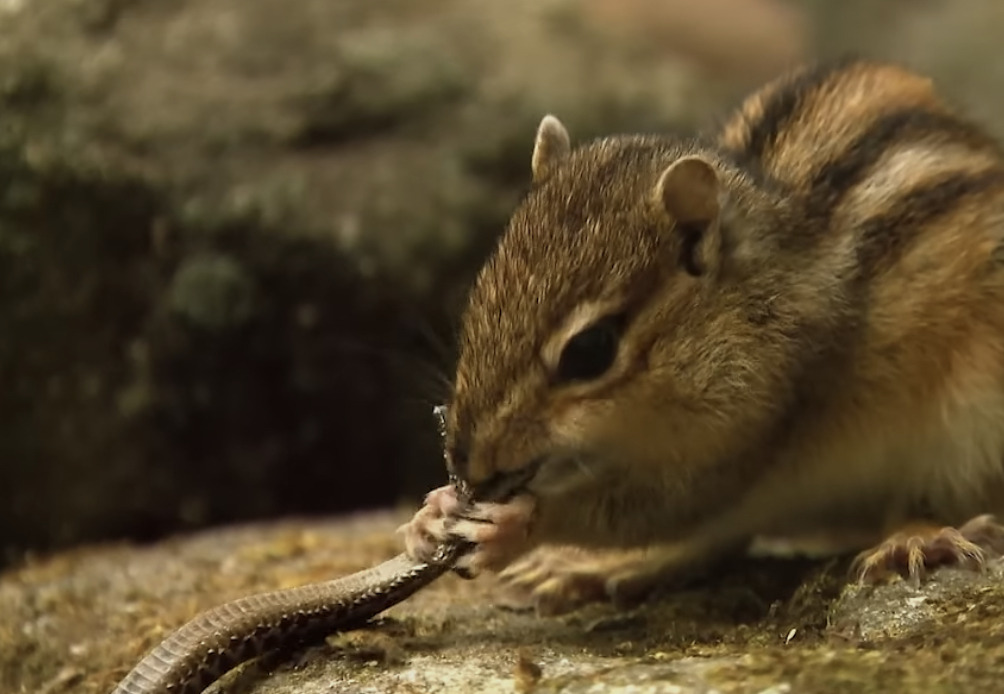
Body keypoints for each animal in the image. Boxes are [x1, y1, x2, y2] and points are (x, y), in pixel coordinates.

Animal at [399, 57, 1004, 615]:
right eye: (477, 298)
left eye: (591, 351)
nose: (466, 462)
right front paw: (432, 513)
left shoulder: (757, 419)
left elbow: (666, 502)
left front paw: (517, 524)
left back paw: (915, 538)